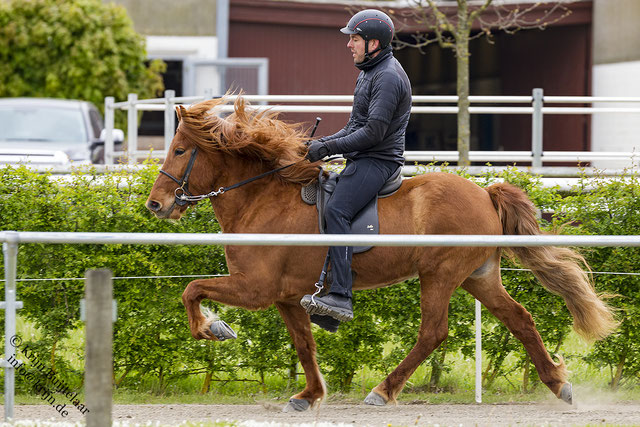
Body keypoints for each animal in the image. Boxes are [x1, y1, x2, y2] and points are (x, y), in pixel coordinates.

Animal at [145, 97, 616, 412]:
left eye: (180, 150)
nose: (156, 205)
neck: (261, 198)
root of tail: (484, 192)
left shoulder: (255, 288)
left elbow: (192, 290)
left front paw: (211, 328)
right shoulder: (285, 296)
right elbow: (304, 344)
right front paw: (309, 395)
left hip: (439, 275)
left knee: (433, 332)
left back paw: (383, 390)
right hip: (478, 276)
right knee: (520, 319)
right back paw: (558, 384)